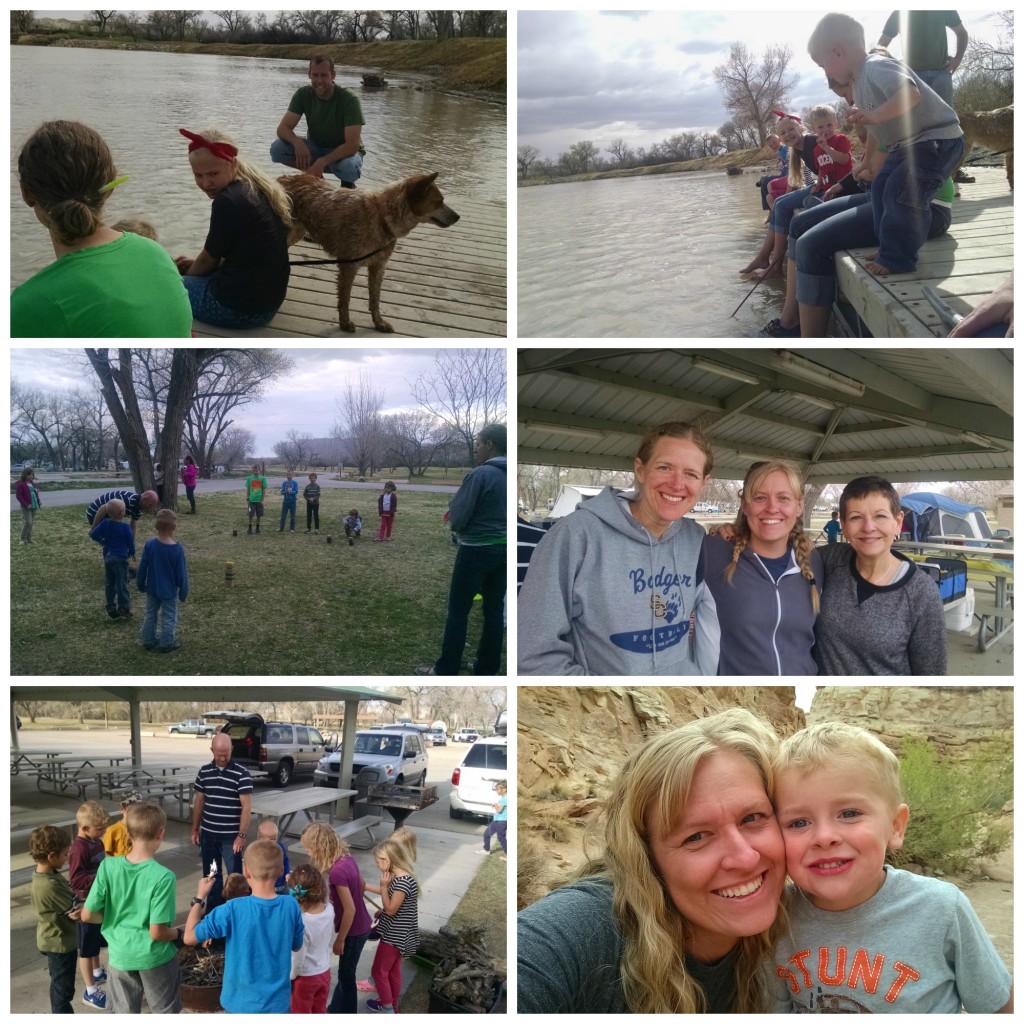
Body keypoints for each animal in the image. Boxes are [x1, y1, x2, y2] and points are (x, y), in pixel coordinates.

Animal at [278, 172, 458, 331]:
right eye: (439, 201)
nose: (458, 217)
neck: (382, 217)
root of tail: (282, 178)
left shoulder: (379, 265)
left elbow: (375, 299)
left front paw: (379, 323)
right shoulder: (349, 265)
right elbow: (345, 299)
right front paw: (345, 323)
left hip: (297, 232)